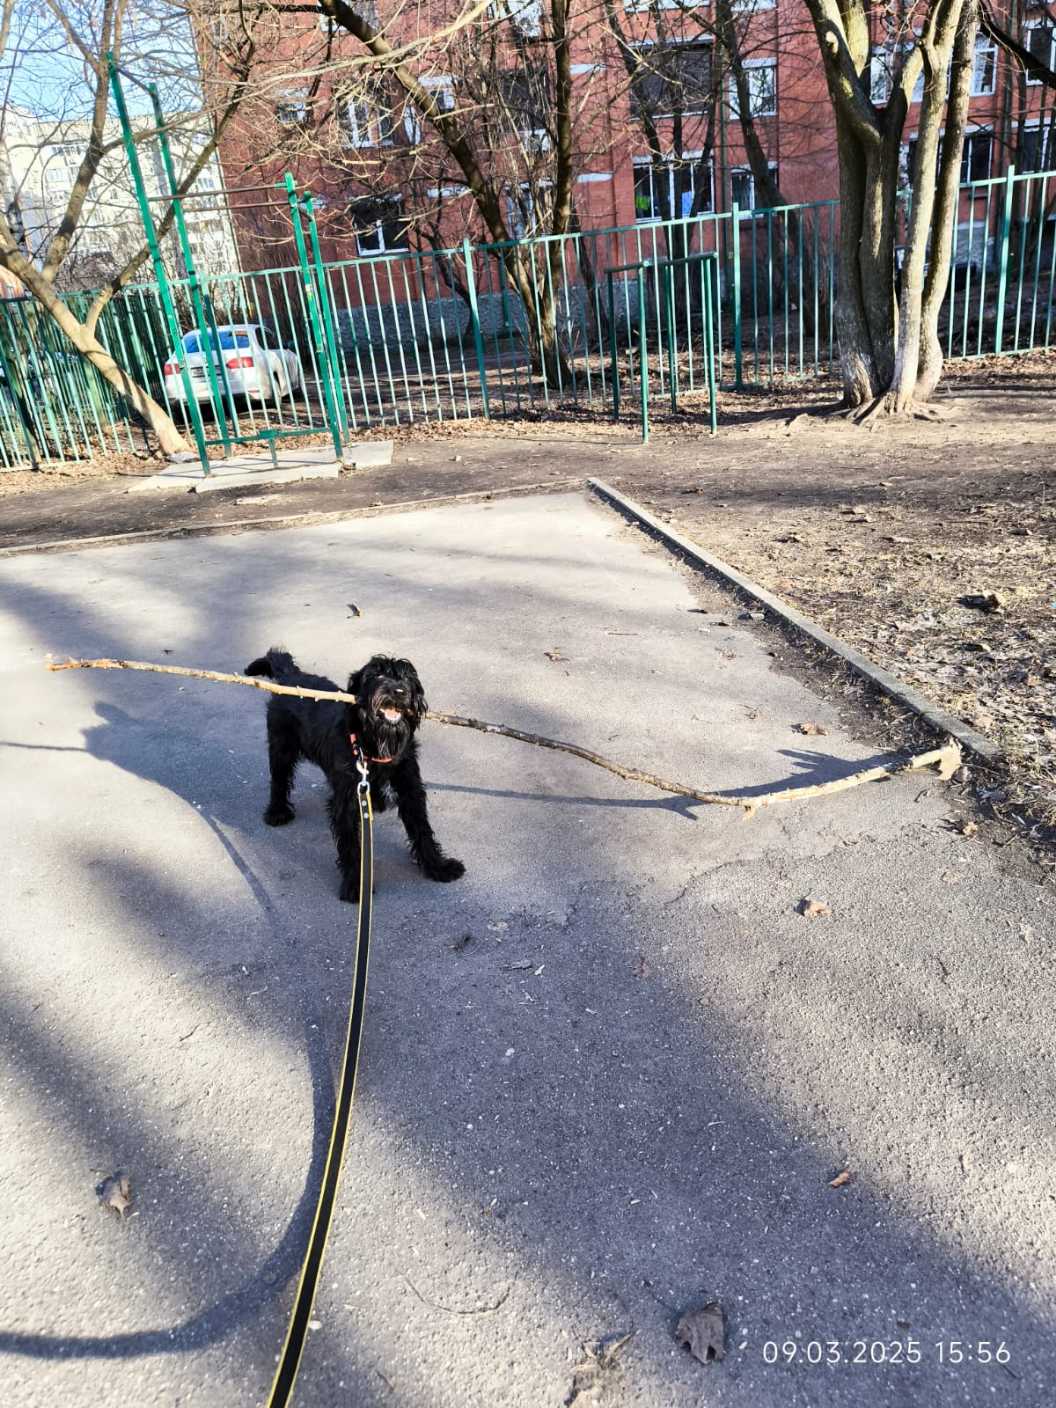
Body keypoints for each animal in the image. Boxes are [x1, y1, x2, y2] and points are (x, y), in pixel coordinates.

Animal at [245, 648, 464, 903]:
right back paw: (277, 812)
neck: (374, 747)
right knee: (279, 780)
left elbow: (422, 830)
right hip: (281, 747)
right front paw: (355, 884)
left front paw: (438, 866)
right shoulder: (348, 800)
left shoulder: (410, 789)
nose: (399, 691)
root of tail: (291, 675)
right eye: (377, 675)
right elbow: (350, 844)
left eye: (407, 678)